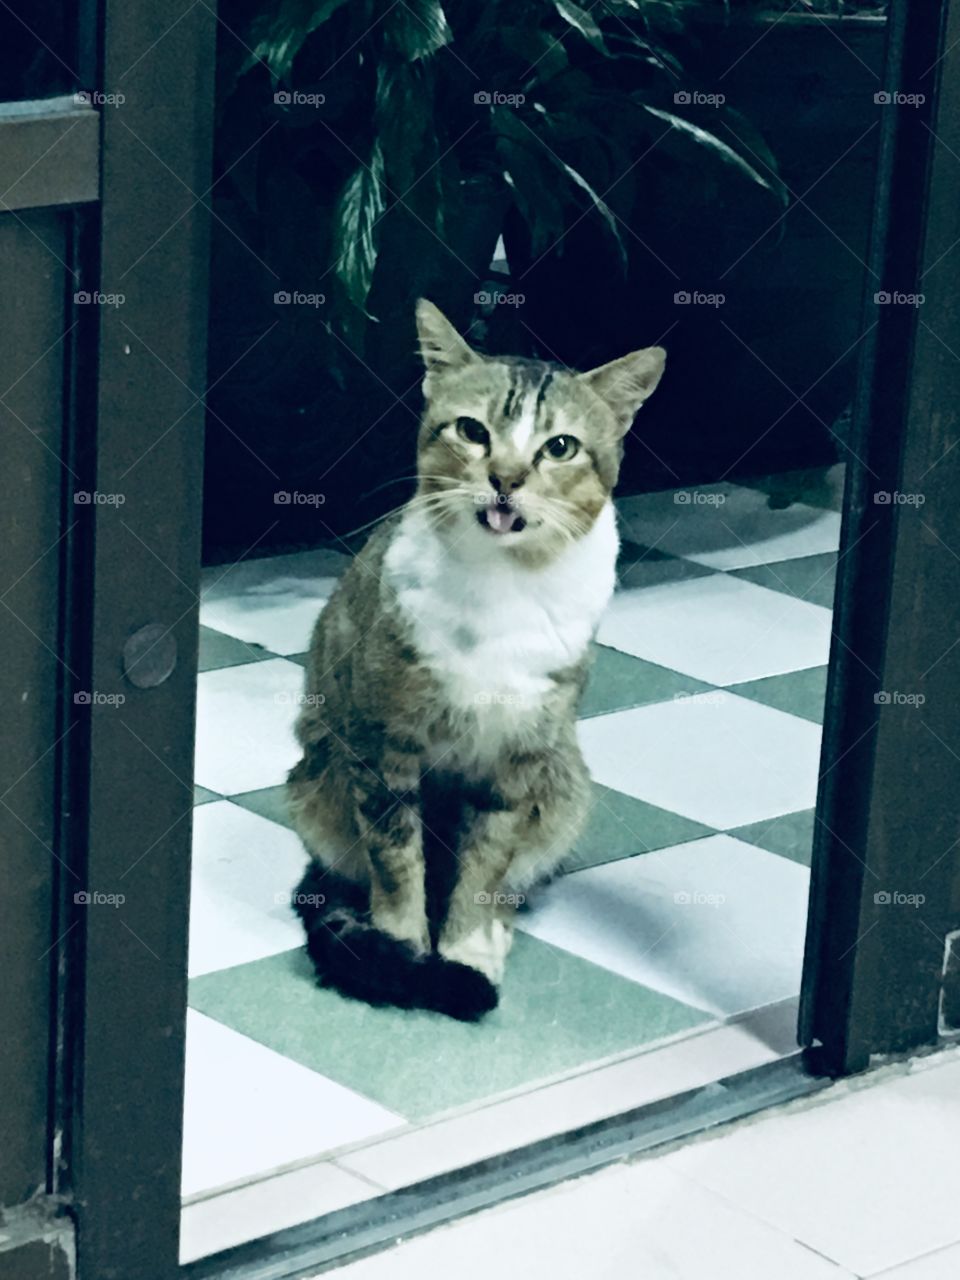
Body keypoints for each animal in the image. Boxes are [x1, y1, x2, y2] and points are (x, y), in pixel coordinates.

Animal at [285, 299, 665, 1018]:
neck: (503, 587)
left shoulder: (517, 758)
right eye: (471, 430)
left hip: (564, 782)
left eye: (561, 446)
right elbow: (395, 861)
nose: (506, 479)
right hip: (315, 781)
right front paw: (404, 950)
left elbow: (485, 866)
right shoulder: (383, 744)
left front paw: (465, 951)